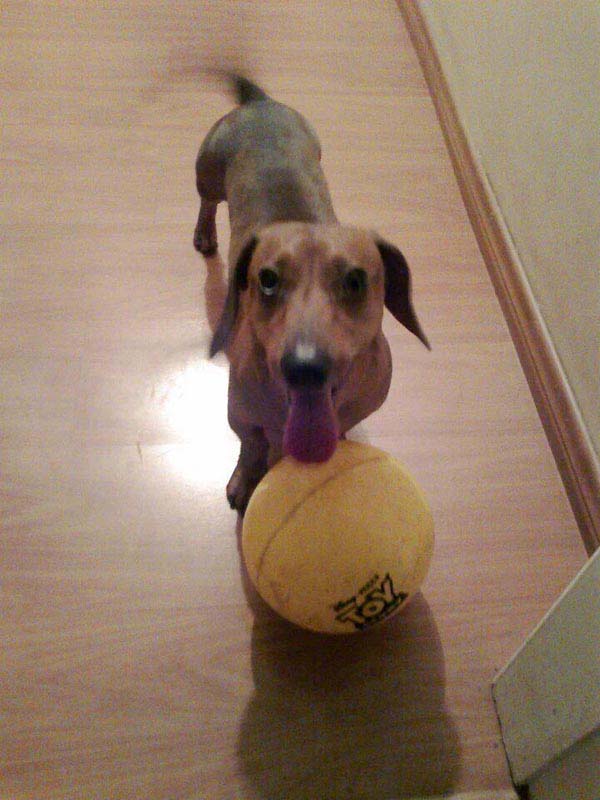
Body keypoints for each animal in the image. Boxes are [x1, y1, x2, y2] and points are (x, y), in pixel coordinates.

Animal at [195, 75, 429, 512]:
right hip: (208, 171)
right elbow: (251, 448)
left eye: (355, 281)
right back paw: (204, 234)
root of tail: (260, 103)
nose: (305, 368)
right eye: (267, 280)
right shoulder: (241, 417)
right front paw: (245, 481)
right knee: (206, 202)